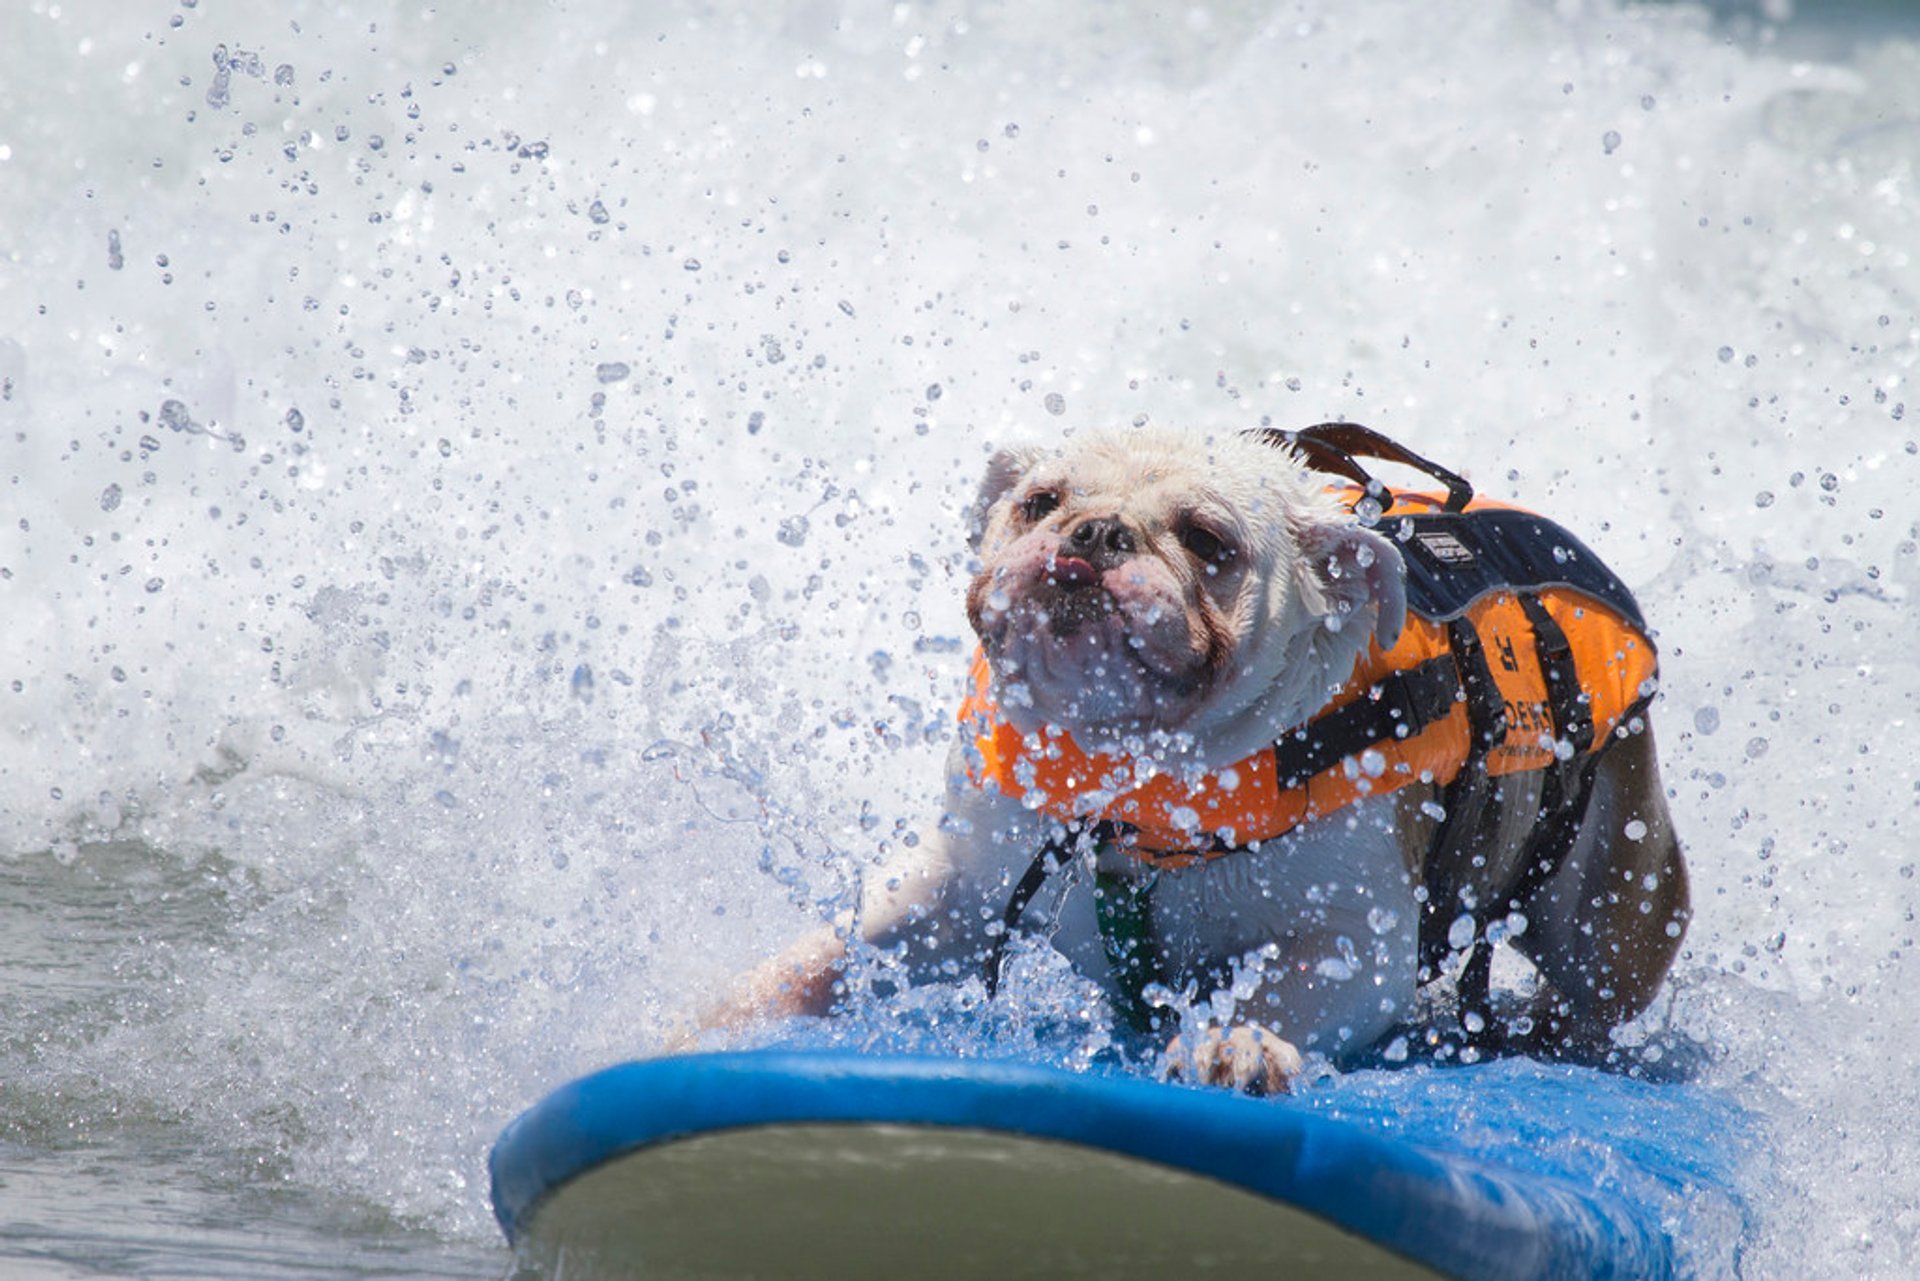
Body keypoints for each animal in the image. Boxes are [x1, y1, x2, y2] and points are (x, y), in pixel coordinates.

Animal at [702, 426, 1681, 1098]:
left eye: (1209, 543)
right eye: (1039, 501)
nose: (1097, 532)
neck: (1134, 770)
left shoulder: (1354, 939)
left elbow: (1282, 988)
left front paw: (1233, 1041)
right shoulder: (957, 886)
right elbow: (827, 959)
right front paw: (720, 1012)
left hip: (1614, 899)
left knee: (1590, 987)